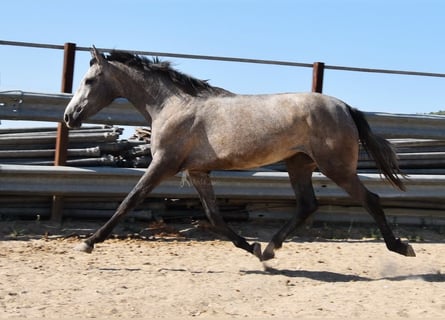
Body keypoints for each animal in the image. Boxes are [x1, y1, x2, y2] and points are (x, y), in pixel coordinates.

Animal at [64, 47, 414, 262]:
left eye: (89, 80)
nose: (69, 116)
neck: (171, 106)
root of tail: (344, 107)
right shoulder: (197, 172)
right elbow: (215, 217)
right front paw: (251, 246)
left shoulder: (163, 164)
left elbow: (128, 201)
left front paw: (89, 241)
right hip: (298, 163)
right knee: (307, 205)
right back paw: (269, 249)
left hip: (335, 167)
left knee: (370, 200)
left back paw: (401, 246)